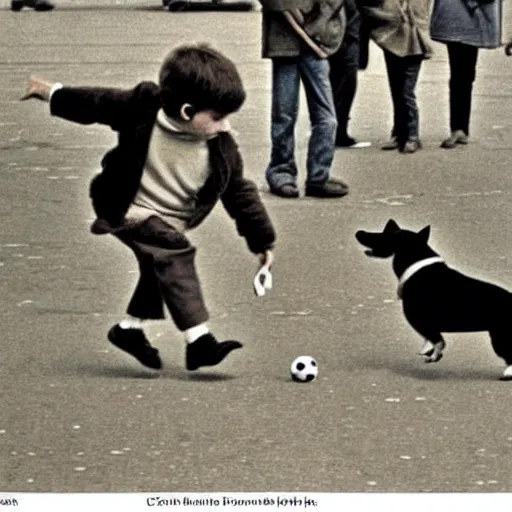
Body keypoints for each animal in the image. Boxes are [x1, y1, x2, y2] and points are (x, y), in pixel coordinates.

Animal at [356, 220, 512, 380]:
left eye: (386, 234)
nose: (359, 232)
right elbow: (430, 338)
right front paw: (429, 351)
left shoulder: (417, 319)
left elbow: (435, 338)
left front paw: (433, 353)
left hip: (500, 337)